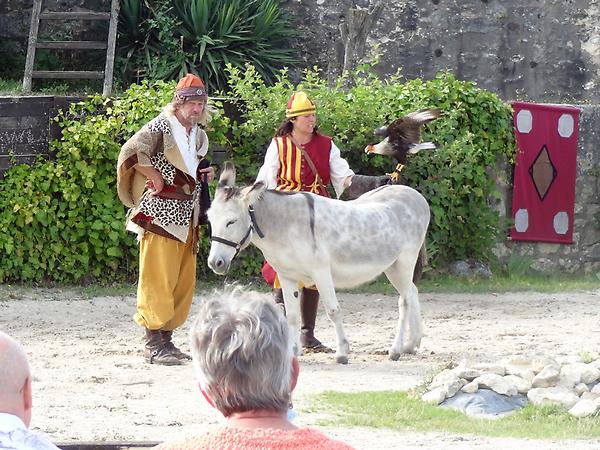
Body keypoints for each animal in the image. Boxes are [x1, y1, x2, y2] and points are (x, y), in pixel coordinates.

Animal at [207, 162, 430, 364]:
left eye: (231, 221)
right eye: (209, 220)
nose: (215, 263)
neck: (285, 226)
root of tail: (414, 194)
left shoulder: (321, 272)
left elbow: (333, 311)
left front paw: (342, 353)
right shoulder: (287, 276)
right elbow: (292, 315)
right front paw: (293, 352)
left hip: (404, 261)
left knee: (404, 301)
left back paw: (396, 349)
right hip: (392, 266)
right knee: (412, 291)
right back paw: (412, 343)